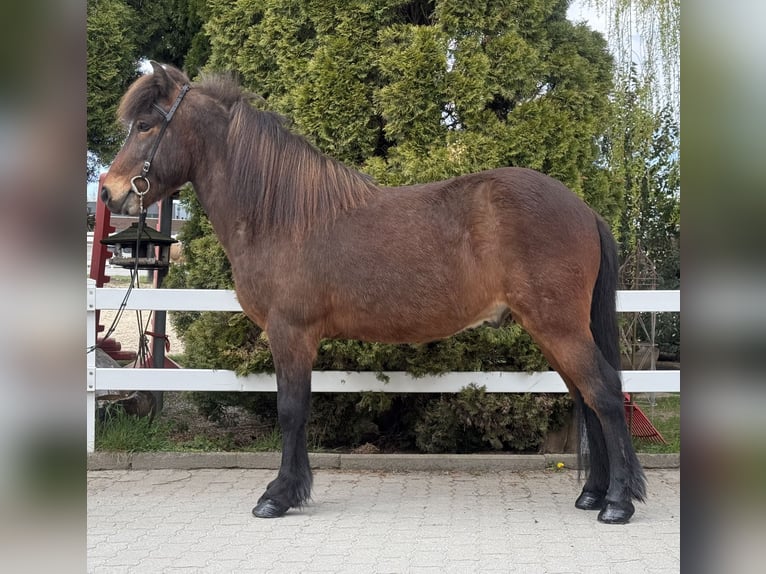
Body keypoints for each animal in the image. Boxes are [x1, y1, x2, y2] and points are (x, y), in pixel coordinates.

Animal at [101, 62, 646, 524]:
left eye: (146, 125)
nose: (109, 190)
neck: (281, 215)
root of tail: (583, 209)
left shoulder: (291, 333)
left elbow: (291, 410)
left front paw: (279, 496)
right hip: (553, 331)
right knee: (587, 399)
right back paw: (592, 494)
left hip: (558, 327)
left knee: (603, 393)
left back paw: (618, 503)